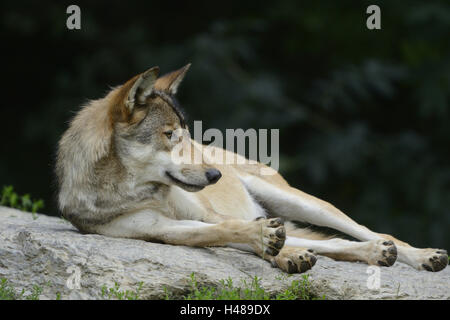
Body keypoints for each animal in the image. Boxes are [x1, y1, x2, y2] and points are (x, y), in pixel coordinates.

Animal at [56, 64, 446, 272]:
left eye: (188, 135)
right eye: (170, 135)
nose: (215, 175)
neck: (128, 191)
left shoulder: (206, 213)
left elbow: (234, 226)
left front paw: (281, 249)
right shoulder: (160, 230)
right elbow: (228, 231)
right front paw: (279, 249)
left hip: (304, 202)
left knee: (362, 230)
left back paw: (418, 254)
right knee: (328, 241)